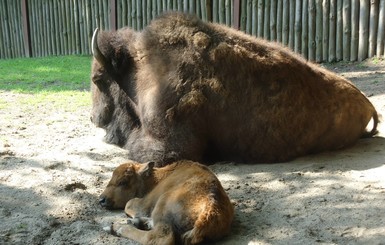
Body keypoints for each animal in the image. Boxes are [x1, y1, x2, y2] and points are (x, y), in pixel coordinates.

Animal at [89, 11, 376, 167]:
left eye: (97, 79)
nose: (93, 118)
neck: (139, 70)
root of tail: (367, 103)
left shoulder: (170, 146)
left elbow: (135, 147)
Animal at [100, 161, 232, 245]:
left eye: (122, 182)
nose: (101, 200)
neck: (156, 179)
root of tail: (211, 207)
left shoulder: (145, 203)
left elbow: (129, 204)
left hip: (163, 201)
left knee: (158, 238)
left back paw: (116, 227)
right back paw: (139, 222)